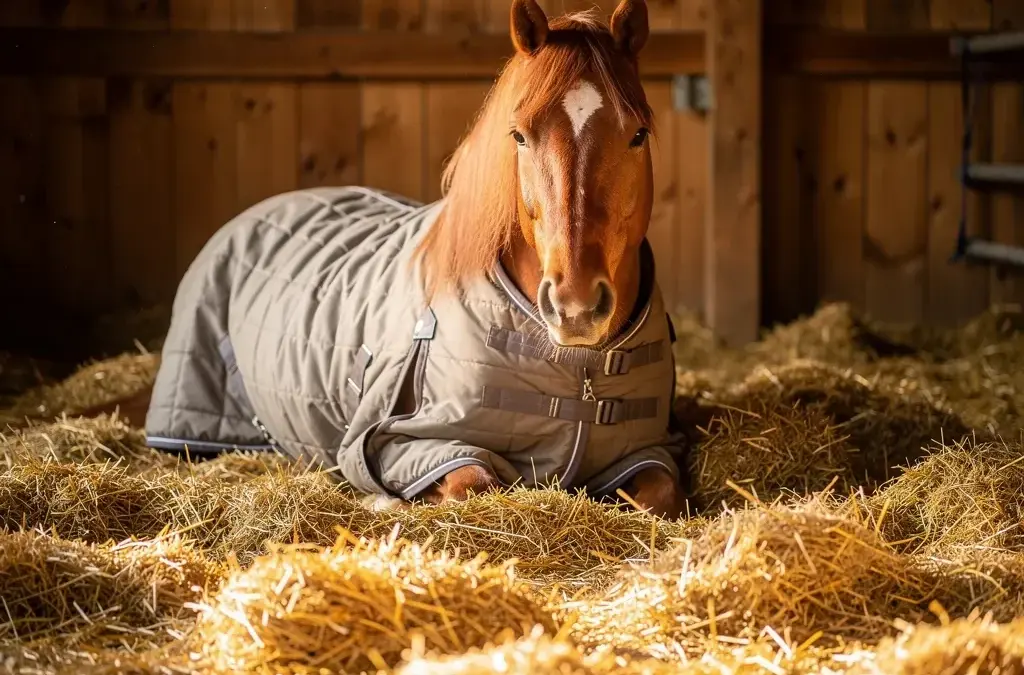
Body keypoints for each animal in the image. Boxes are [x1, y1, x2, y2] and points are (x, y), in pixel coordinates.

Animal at [83, 0, 690, 519]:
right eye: (519, 135)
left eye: (637, 134)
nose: (576, 306)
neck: (575, 371)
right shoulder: (401, 442)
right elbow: (474, 482)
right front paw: (382, 501)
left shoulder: (648, 451)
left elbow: (662, 496)